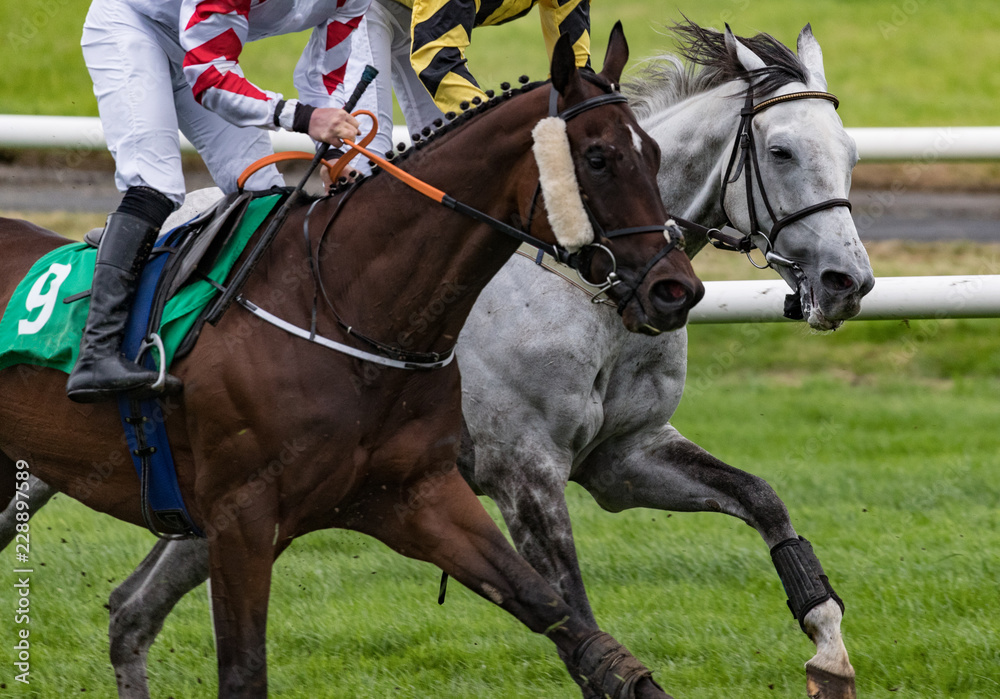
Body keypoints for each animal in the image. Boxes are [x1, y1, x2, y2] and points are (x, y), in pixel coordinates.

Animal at [0, 21, 872, 699]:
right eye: (782, 151)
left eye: (850, 152)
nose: (848, 281)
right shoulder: (523, 471)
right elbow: (574, 607)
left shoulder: (622, 455)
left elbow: (762, 500)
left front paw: (829, 651)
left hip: (198, 510)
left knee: (130, 610)